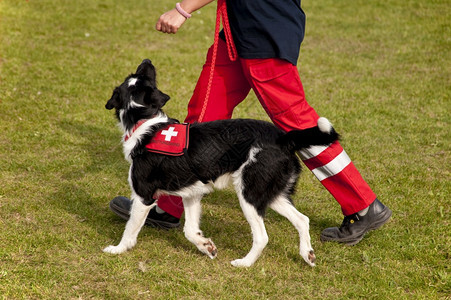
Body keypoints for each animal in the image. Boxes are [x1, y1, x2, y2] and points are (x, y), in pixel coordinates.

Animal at [103, 58, 340, 268]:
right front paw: (206, 246)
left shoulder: (143, 196)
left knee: (262, 236)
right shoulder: (191, 194)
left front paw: (117, 249)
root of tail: (283, 137)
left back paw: (244, 263)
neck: (145, 123)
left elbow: (130, 229)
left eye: (143, 77)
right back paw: (307, 254)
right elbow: (190, 230)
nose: (147, 60)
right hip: (272, 194)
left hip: (249, 195)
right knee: (302, 220)